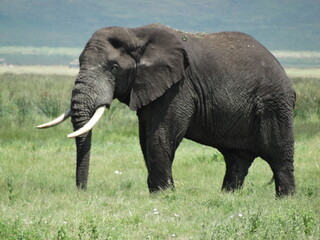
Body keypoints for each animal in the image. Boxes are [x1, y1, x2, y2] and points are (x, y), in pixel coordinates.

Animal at [37, 23, 296, 197]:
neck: (136, 34)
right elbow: (145, 138)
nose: (82, 192)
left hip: (275, 104)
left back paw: (285, 199)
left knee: (278, 154)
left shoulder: (178, 86)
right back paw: (228, 196)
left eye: (114, 68)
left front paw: (163, 195)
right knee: (236, 159)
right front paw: (160, 193)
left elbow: (160, 135)